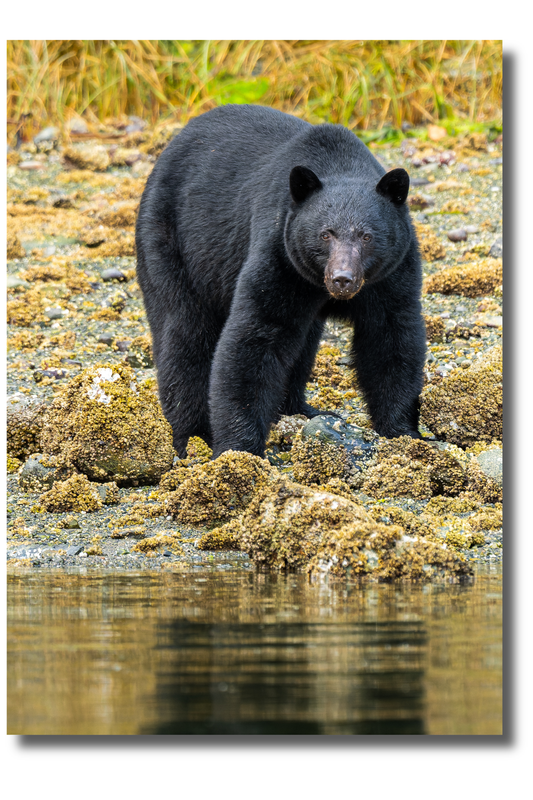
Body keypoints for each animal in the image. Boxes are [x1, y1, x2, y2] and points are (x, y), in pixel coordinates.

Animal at [135, 104, 426, 459]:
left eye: (367, 236)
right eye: (326, 234)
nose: (342, 279)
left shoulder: (390, 274)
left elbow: (391, 338)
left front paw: (403, 431)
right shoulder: (280, 255)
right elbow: (256, 335)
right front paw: (239, 449)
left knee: (303, 344)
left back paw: (300, 410)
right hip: (171, 239)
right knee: (184, 332)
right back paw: (190, 433)